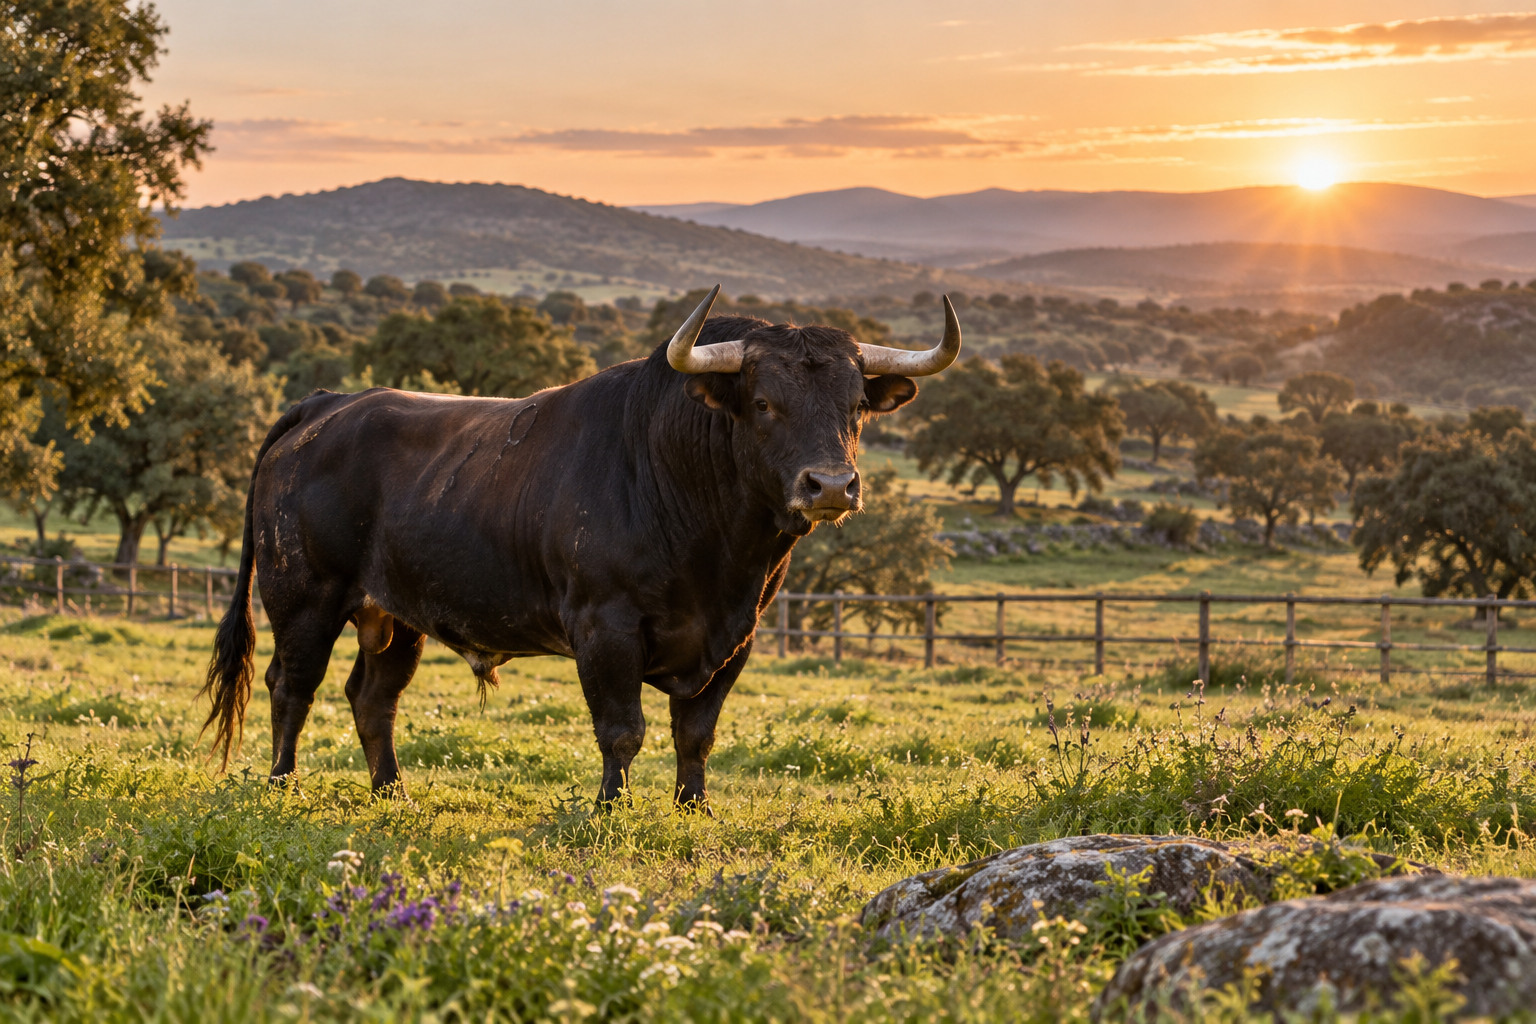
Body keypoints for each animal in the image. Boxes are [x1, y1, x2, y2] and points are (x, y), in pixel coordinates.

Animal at [200, 286, 960, 809]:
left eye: (855, 406)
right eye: (765, 403)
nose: (830, 484)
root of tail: (328, 404)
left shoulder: (736, 639)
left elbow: (697, 732)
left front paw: (694, 811)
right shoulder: (605, 626)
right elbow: (622, 729)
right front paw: (608, 811)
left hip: (395, 614)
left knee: (371, 697)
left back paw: (394, 793)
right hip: (304, 597)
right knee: (292, 686)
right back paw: (283, 786)